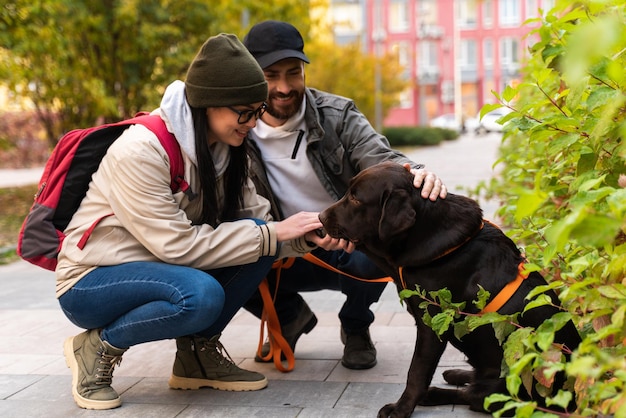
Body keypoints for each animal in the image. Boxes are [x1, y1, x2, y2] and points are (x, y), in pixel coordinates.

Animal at [320, 162, 576, 416]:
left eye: (356, 199)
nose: (320, 217)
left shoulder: (432, 325)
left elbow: (416, 373)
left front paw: (401, 408)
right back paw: (456, 374)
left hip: (505, 387)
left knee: (473, 395)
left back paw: (435, 392)